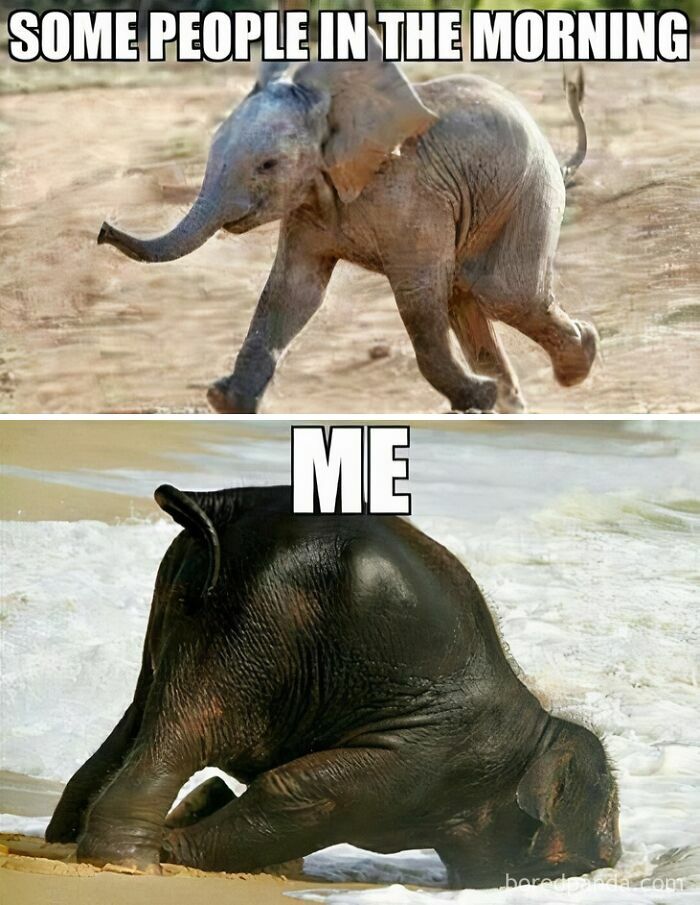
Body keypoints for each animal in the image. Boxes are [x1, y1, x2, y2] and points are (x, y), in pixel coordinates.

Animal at [46, 483, 621, 888]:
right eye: (597, 850)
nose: (613, 859)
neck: (537, 731)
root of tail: (224, 505)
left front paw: (202, 813)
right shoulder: (428, 758)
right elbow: (303, 793)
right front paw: (177, 843)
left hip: (182, 599)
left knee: (142, 712)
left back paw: (66, 841)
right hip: (257, 624)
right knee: (192, 726)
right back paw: (131, 864)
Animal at [97, 29, 597, 414]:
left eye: (268, 165)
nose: (103, 230)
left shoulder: (411, 199)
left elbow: (417, 299)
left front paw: (479, 398)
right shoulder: (309, 204)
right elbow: (292, 292)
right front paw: (225, 402)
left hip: (528, 189)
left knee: (502, 292)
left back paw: (576, 363)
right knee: (468, 297)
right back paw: (510, 404)